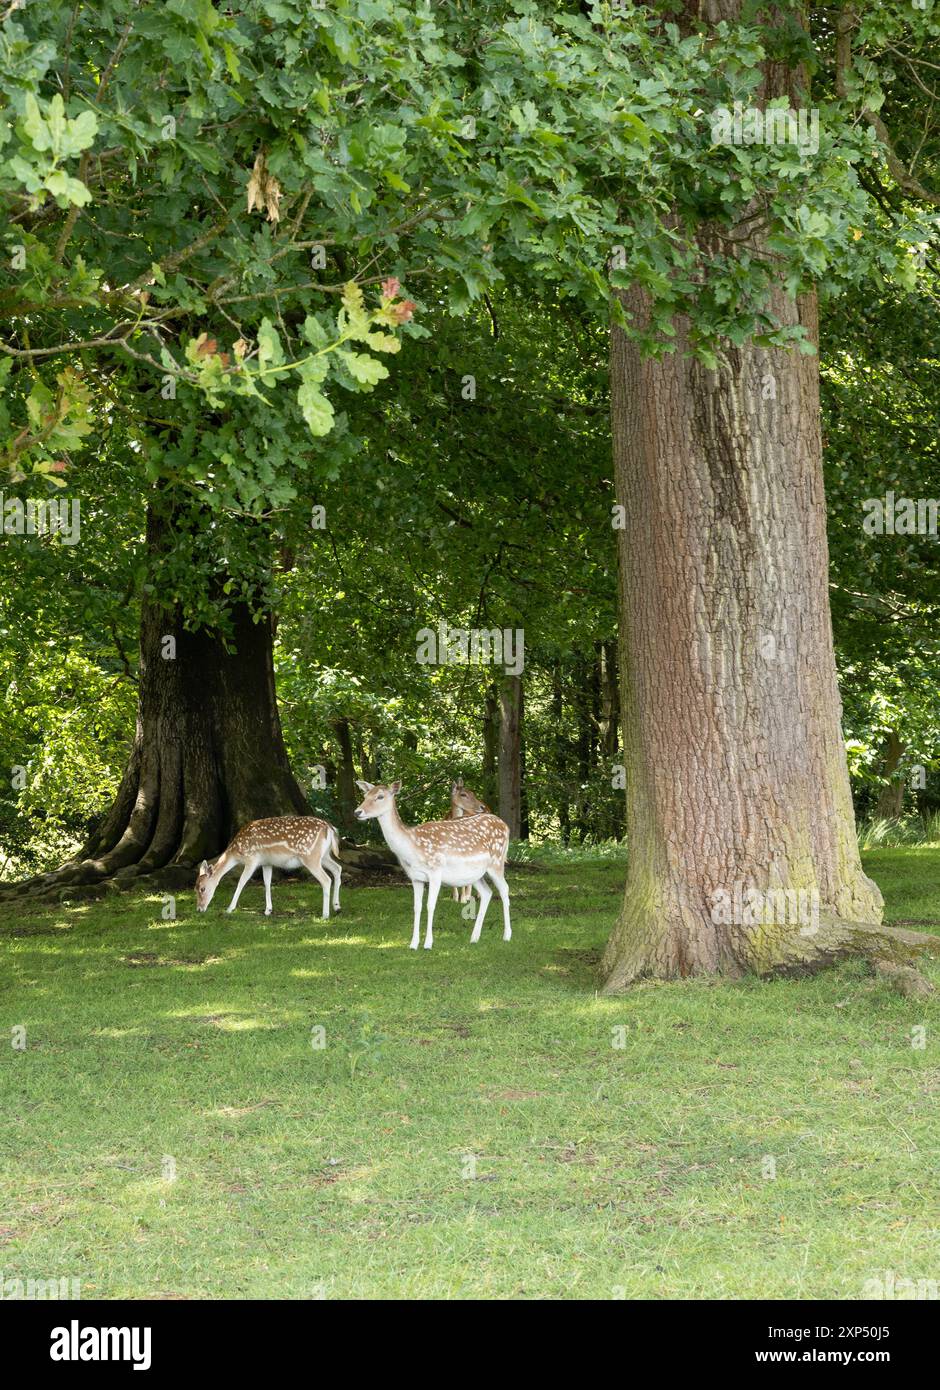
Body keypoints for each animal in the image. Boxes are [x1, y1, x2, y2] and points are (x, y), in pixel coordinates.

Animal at [194, 811, 342, 922]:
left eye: (202, 889)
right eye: (195, 889)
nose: (199, 909)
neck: (237, 852)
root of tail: (330, 828)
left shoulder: (252, 859)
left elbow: (241, 882)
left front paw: (230, 908)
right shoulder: (266, 863)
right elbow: (267, 882)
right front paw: (268, 910)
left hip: (310, 856)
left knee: (326, 879)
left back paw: (325, 915)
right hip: (324, 856)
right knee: (337, 868)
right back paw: (337, 907)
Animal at [450, 778, 492, 906]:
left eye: (473, 793)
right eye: (463, 794)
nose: (481, 807)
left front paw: (463, 899)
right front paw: (455, 897)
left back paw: (475, 895)